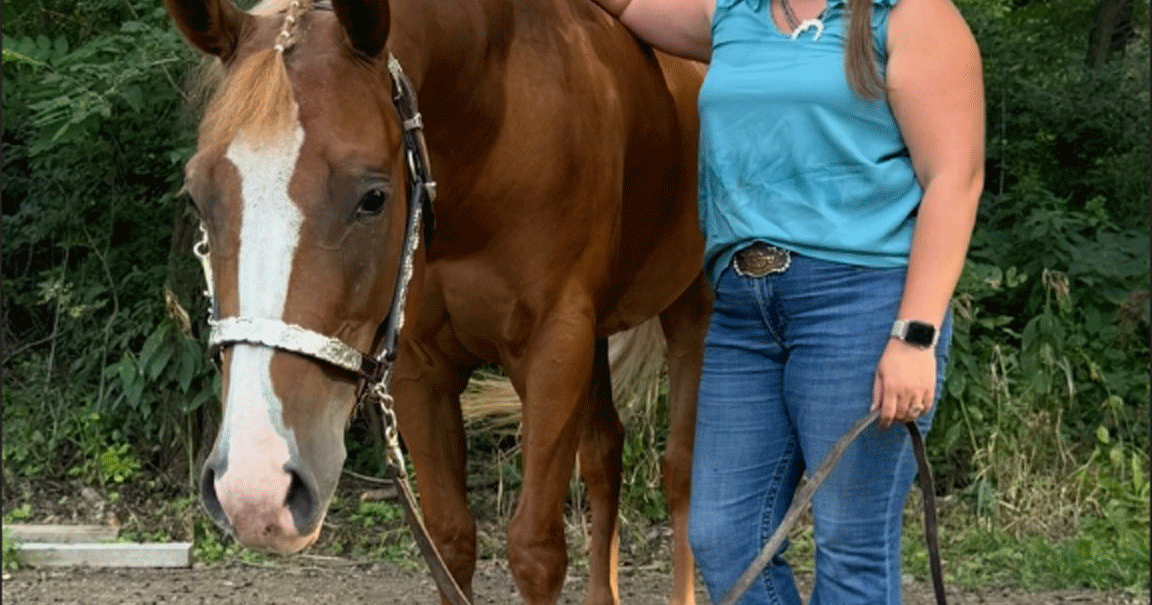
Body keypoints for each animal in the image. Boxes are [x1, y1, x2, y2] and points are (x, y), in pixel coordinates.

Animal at [164, 0, 709, 602]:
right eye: (197, 198)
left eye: (374, 197)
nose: (256, 489)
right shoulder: (420, 367)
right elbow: (450, 538)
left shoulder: (553, 350)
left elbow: (536, 551)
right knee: (603, 455)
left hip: (691, 309)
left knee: (681, 473)